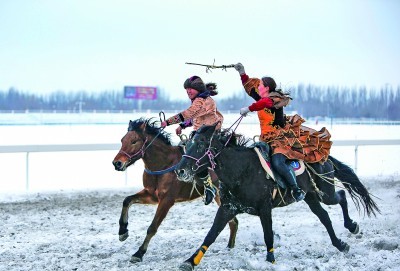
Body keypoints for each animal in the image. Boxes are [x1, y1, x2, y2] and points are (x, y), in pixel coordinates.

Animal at [111, 118, 239, 264]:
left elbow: (152, 227)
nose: (117, 163)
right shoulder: (151, 195)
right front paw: (123, 231)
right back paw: (229, 247)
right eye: (122, 140)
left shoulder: (167, 200)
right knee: (233, 222)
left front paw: (139, 253)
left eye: (134, 141)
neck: (164, 164)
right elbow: (127, 200)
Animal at [174, 124, 378, 271]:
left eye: (200, 144)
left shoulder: (265, 208)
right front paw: (190, 261)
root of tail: (324, 157)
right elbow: (211, 235)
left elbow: (268, 235)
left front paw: (270, 260)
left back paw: (352, 226)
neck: (242, 170)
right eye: (187, 145)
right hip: (310, 197)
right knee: (325, 217)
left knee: (341, 196)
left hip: (324, 192)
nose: (180, 170)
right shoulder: (227, 208)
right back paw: (340, 244)